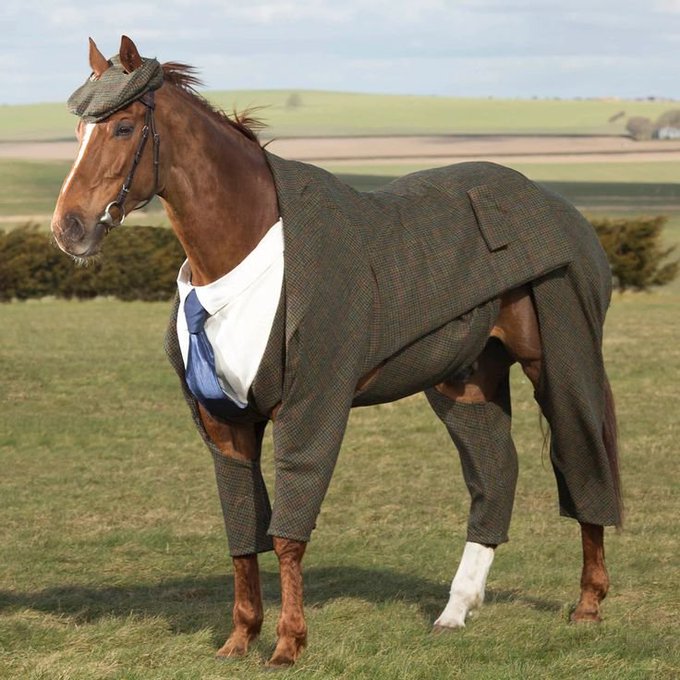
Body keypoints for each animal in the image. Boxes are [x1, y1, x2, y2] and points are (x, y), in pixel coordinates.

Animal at [51, 36, 622, 668]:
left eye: (124, 127)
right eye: (78, 131)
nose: (68, 228)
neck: (245, 254)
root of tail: (560, 209)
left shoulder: (310, 406)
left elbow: (286, 532)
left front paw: (287, 644)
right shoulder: (226, 424)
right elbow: (242, 532)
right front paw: (239, 639)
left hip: (560, 356)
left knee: (583, 456)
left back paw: (589, 603)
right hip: (465, 378)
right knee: (495, 472)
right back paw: (455, 610)